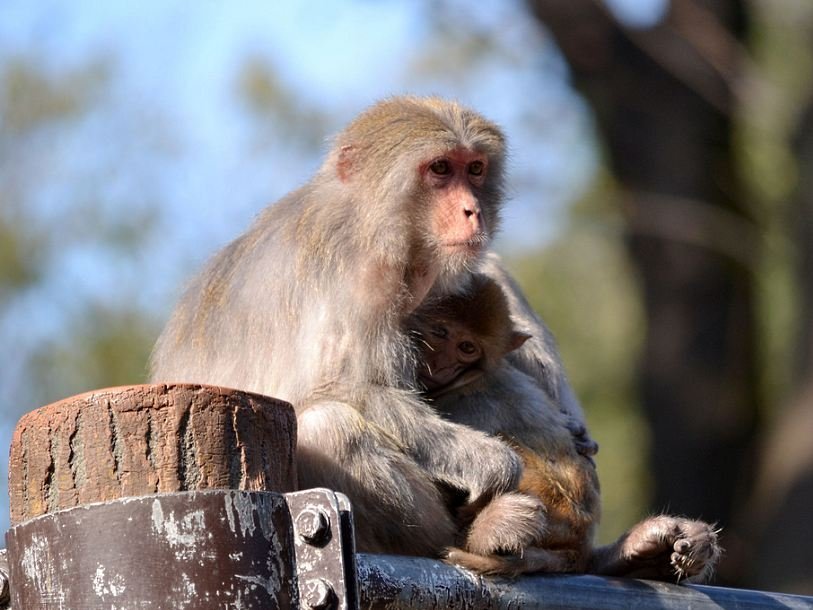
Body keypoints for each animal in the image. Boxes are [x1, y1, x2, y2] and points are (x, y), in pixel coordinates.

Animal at [150, 96, 534, 558]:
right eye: (441, 168)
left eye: (475, 168)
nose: (472, 211)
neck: (369, 219)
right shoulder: (361, 279)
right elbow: (342, 388)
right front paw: (490, 462)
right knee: (329, 429)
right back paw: (457, 537)